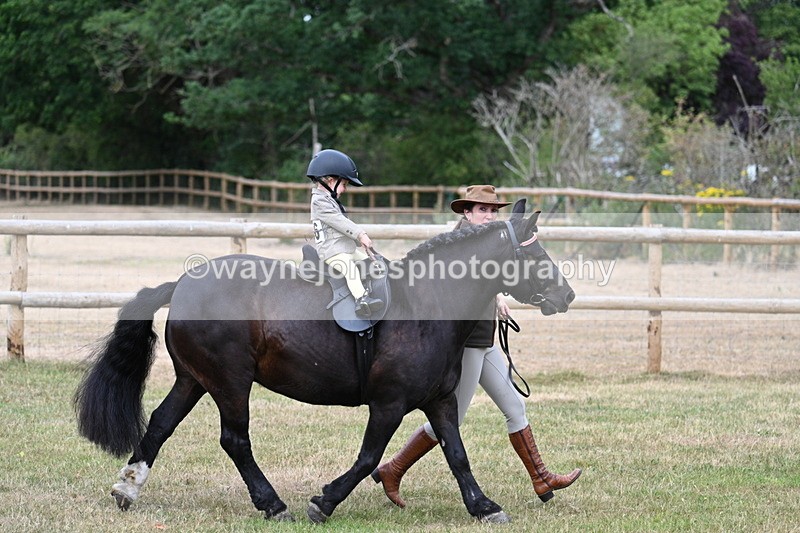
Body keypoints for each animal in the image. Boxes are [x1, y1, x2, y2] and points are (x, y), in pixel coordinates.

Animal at [74, 199, 574, 524]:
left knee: (160, 423)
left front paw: (483, 506)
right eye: (534, 253)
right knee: (235, 440)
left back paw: (127, 488)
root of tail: (182, 284)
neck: (425, 305)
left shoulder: (441, 401)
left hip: (194, 379)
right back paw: (273, 504)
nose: (566, 295)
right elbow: (368, 457)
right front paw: (325, 501)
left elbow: (456, 453)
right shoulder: (389, 404)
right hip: (230, 382)